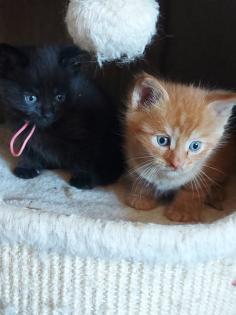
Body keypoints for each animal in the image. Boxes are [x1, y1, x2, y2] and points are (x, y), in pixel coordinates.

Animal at [0, 44, 124, 190]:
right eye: (31, 98)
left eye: (60, 97)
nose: (47, 113)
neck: (47, 127)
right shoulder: (20, 129)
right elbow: (27, 149)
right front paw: (27, 168)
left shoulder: (87, 135)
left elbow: (84, 158)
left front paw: (83, 179)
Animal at [124, 73, 236, 223]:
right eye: (162, 141)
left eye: (195, 146)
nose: (176, 164)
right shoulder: (133, 154)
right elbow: (141, 176)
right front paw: (141, 197)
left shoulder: (206, 167)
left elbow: (193, 187)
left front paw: (183, 211)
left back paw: (216, 193)